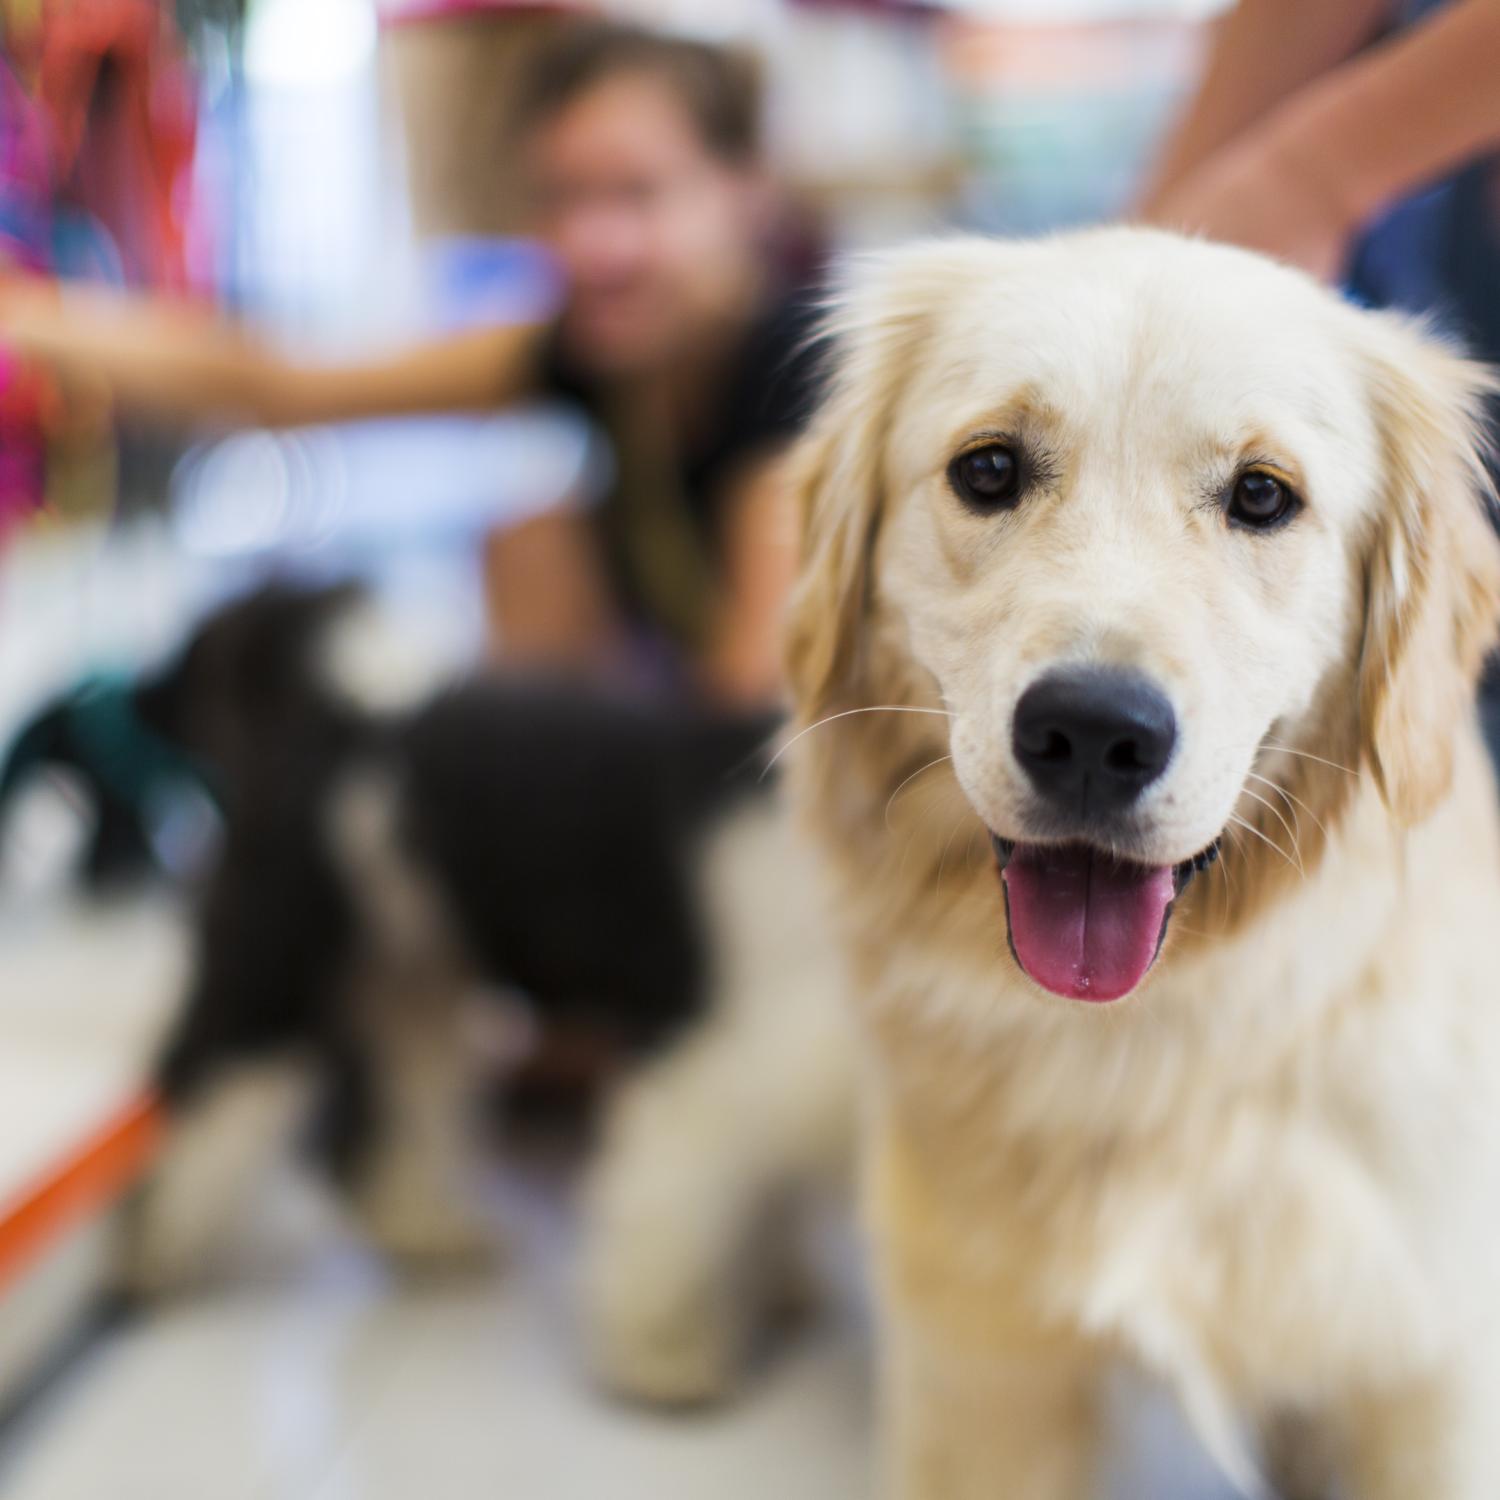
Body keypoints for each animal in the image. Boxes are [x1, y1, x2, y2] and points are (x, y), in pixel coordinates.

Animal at [126, 579, 858, 1398]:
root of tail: (355, 718)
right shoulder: (711, 1057)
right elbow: (670, 1214)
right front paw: (665, 1354)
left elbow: (762, 1192)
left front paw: (775, 1282)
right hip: (277, 968)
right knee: (200, 1094)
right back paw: (152, 1252)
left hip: (411, 980)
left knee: (385, 1126)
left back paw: (424, 1229)